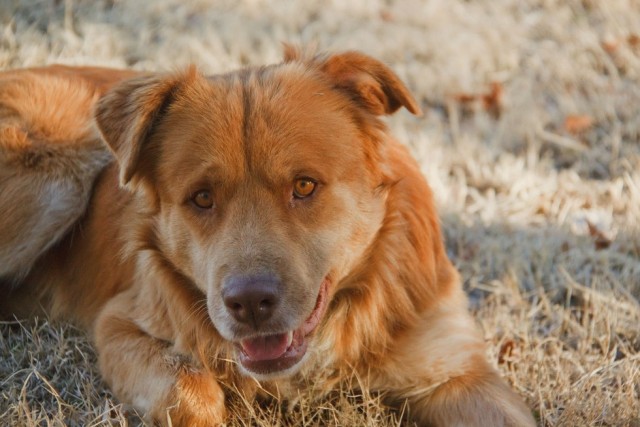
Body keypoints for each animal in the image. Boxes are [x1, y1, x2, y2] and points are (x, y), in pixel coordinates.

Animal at [0, 48, 536, 426]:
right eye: (201, 198)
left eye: (304, 186)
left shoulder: (455, 371)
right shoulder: (119, 324)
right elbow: (192, 394)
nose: (250, 304)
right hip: (54, 180)